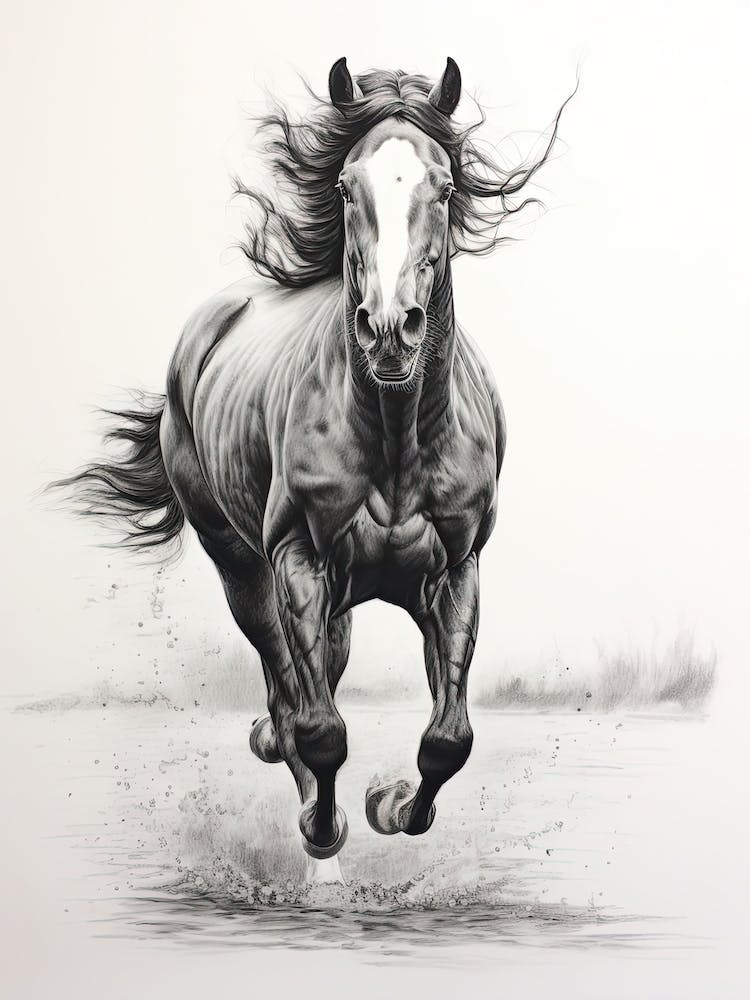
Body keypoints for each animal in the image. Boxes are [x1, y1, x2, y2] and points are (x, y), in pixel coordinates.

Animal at [55, 58, 569, 882]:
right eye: (346, 186)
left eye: (445, 187)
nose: (390, 331)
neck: (395, 436)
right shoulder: (297, 559)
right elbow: (321, 730)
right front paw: (325, 839)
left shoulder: (456, 571)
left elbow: (448, 739)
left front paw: (389, 805)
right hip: (241, 567)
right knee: (289, 686)